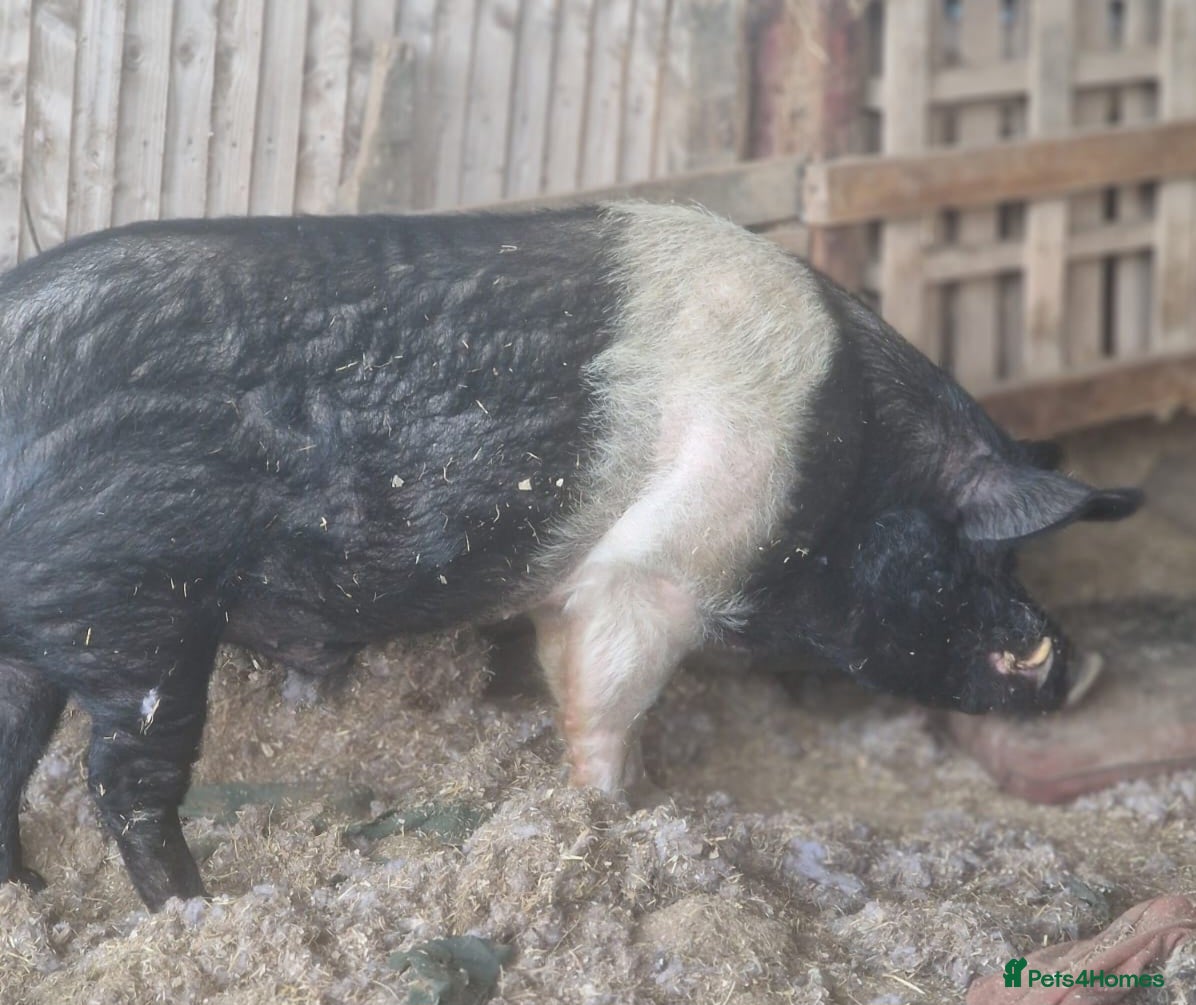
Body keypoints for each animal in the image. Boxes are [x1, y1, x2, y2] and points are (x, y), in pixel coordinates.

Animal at [0, 202, 1140, 910]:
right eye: (976, 563)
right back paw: (202, 909)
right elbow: (601, 698)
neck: (843, 458)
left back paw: (30, 893)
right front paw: (619, 811)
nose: (1082, 666)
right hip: (136, 616)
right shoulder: (647, 574)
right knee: (124, 783)